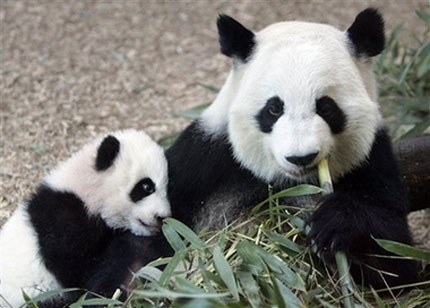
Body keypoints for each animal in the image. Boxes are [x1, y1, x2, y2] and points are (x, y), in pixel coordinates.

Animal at [165, 9, 420, 288]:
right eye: (274, 108)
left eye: (326, 107)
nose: (301, 158)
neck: (290, 182)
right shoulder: (204, 160)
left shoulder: (372, 161)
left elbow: (397, 261)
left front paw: (335, 220)